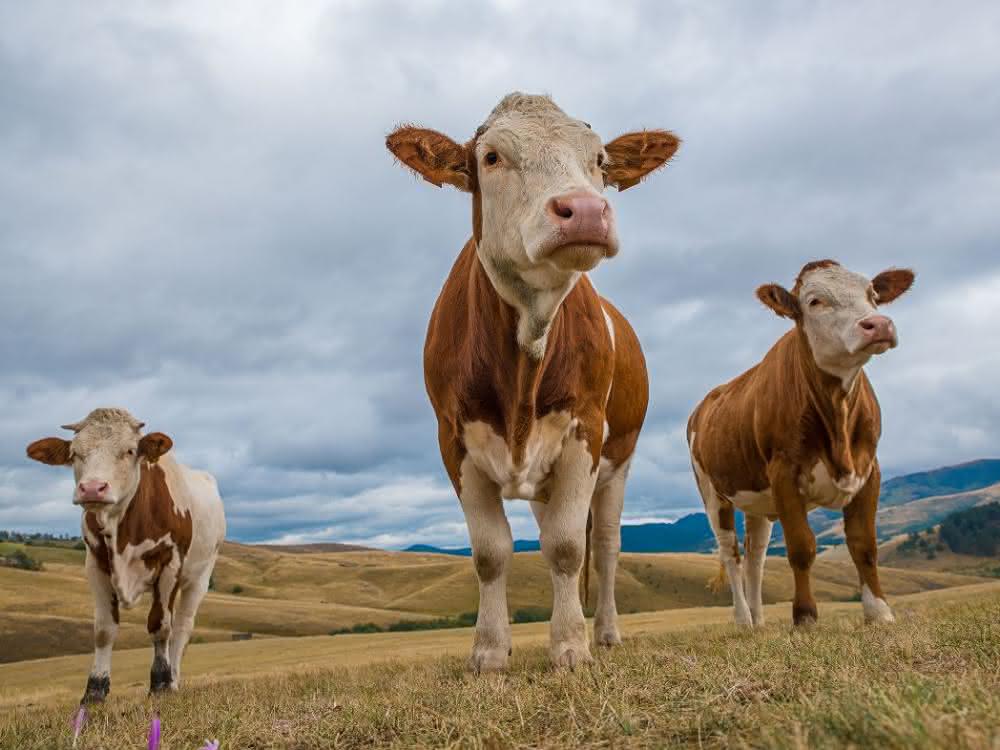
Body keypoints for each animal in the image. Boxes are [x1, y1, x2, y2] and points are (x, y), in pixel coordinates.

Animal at [26, 407, 226, 703]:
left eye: (130, 451)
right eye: (74, 453)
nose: (92, 488)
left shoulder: (170, 561)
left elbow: (160, 625)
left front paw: (161, 683)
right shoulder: (95, 563)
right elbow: (104, 629)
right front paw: (95, 690)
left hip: (199, 577)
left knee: (181, 627)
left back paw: (174, 679)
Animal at [386, 93, 679, 671]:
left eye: (600, 160)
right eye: (492, 157)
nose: (585, 210)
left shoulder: (585, 431)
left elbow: (567, 547)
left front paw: (570, 646)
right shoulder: (452, 439)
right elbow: (491, 553)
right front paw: (490, 651)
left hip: (620, 461)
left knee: (605, 547)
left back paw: (605, 632)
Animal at [687, 260, 915, 627]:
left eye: (872, 294)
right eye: (814, 301)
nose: (879, 325)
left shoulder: (870, 470)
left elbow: (864, 545)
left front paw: (879, 612)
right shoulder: (784, 472)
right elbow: (801, 548)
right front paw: (805, 616)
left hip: (758, 501)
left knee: (755, 557)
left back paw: (759, 622)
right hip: (712, 493)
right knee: (731, 554)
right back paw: (743, 620)